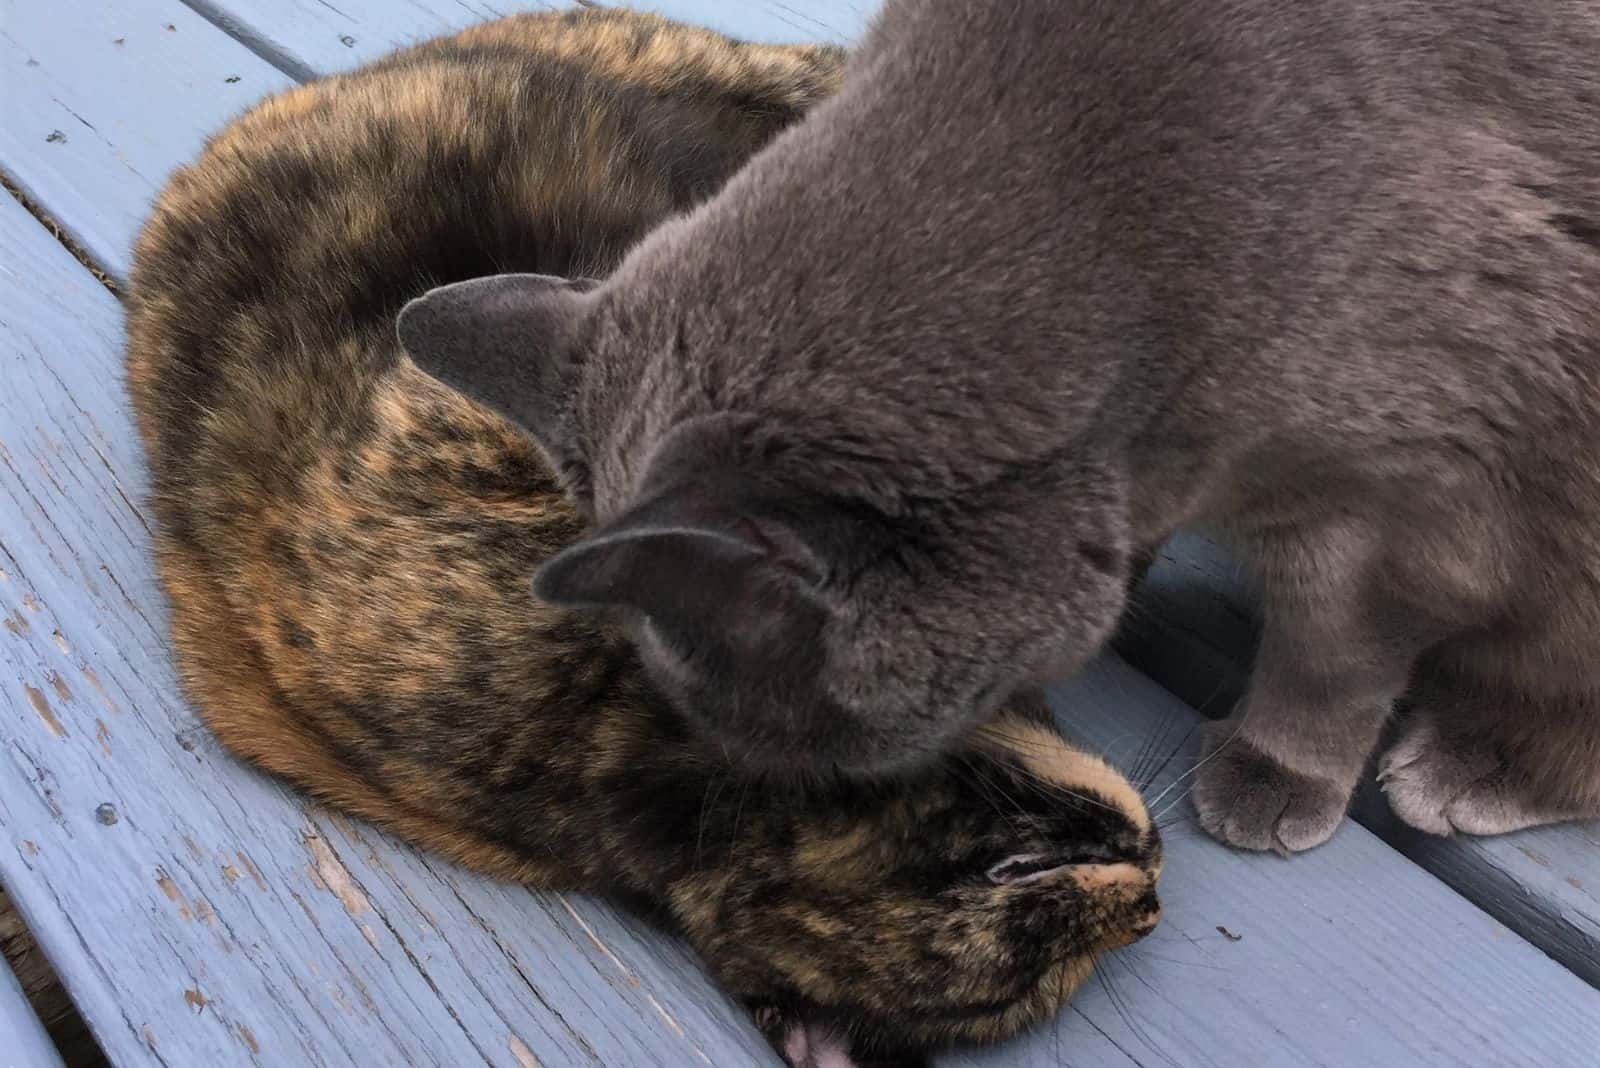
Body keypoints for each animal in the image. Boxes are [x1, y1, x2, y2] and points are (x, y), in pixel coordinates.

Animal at [396, 0, 1600, 850]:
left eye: (817, 725)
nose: (801, 783)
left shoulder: (1405, 496)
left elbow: (1330, 656)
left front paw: (1275, 774)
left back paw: (1474, 770)